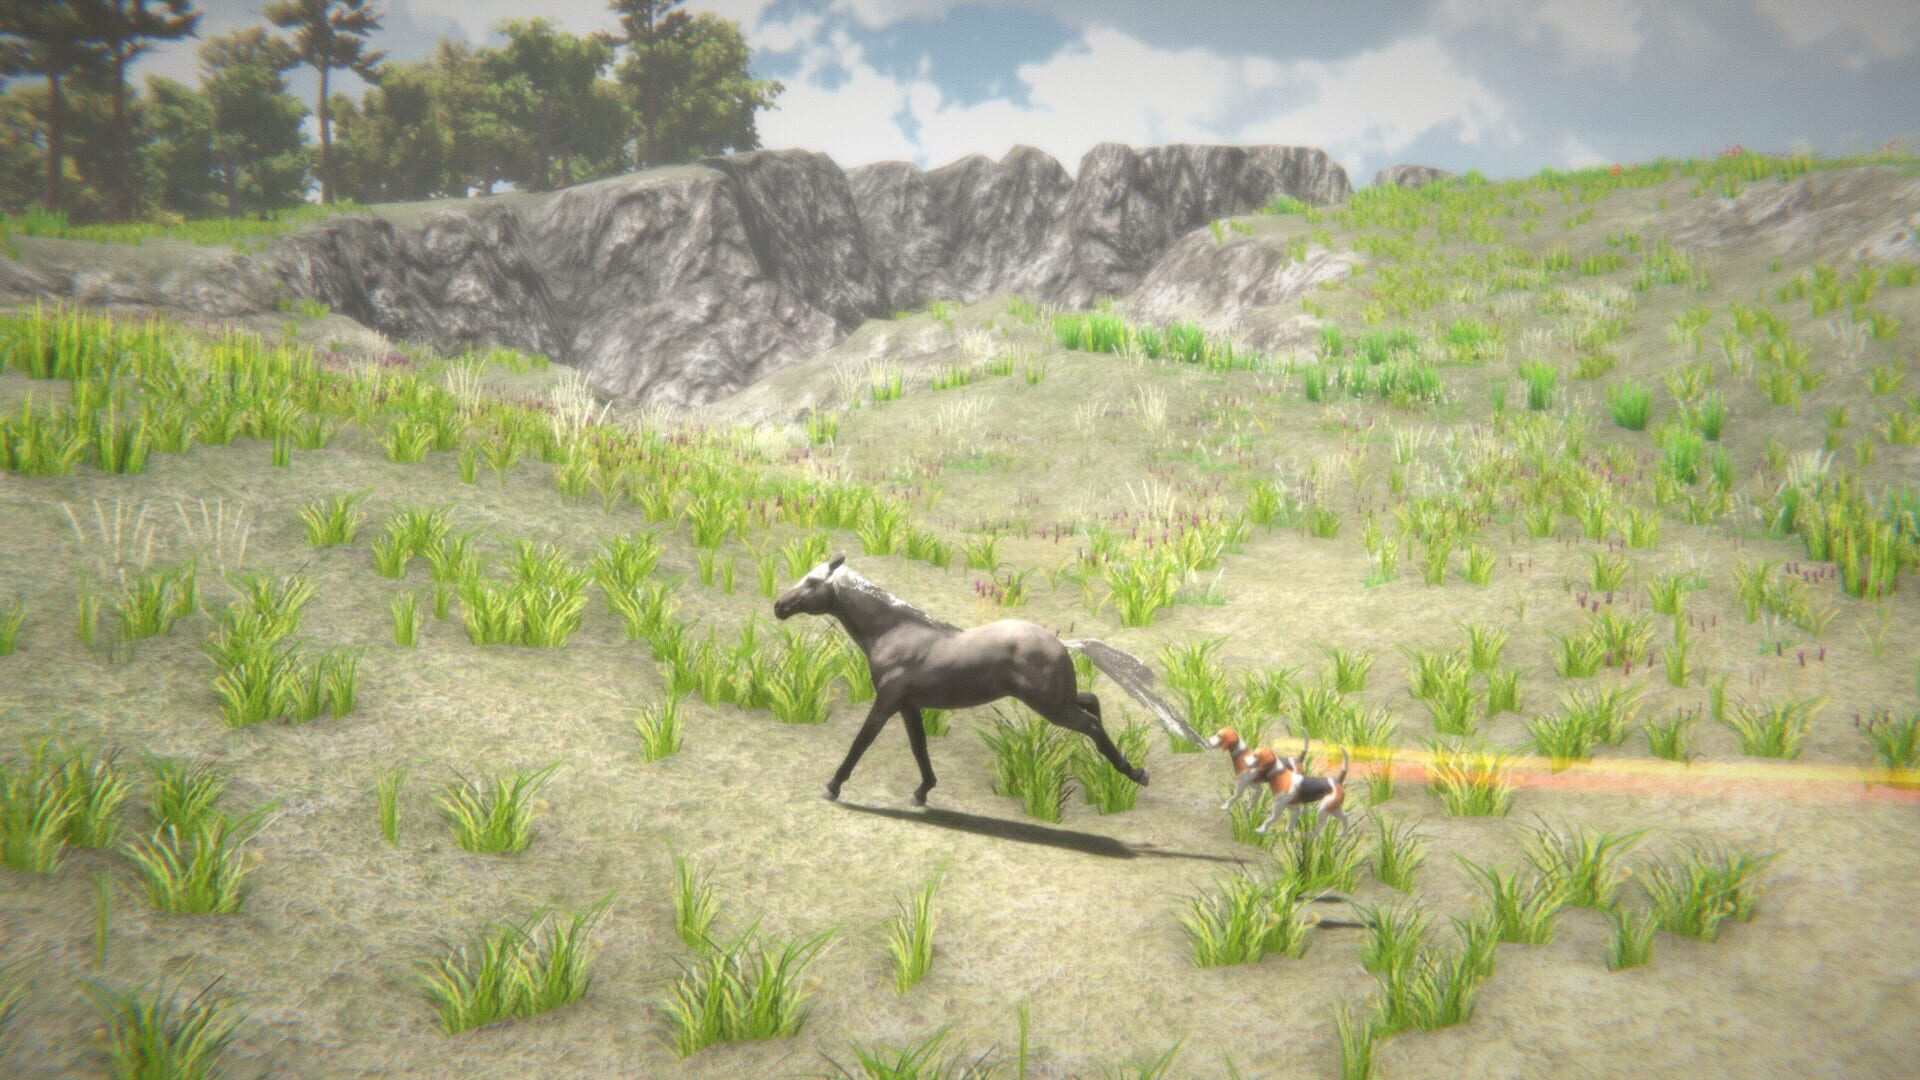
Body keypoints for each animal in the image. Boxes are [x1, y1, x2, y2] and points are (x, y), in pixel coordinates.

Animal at [773, 553, 1203, 805]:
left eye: (812, 582)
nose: (779, 606)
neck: (895, 633)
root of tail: (1063, 643)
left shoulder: (887, 701)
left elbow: (862, 741)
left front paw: (832, 787)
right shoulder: (909, 705)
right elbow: (919, 748)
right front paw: (922, 791)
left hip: (1050, 707)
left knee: (1092, 724)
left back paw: (1136, 774)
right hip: (1056, 699)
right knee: (1092, 702)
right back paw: (1131, 769)